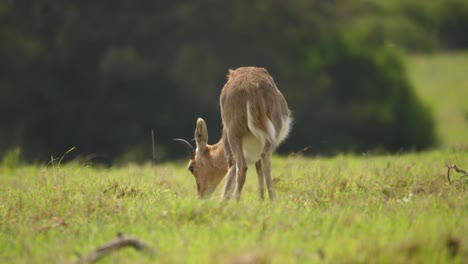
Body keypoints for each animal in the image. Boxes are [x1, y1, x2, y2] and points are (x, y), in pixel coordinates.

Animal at [176, 66, 292, 200]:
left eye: (191, 167)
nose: (201, 196)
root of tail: (252, 87)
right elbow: (259, 169)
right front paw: (261, 200)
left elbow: (232, 168)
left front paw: (223, 200)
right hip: (271, 138)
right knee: (265, 160)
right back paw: (272, 201)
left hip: (234, 135)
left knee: (241, 167)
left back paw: (236, 201)